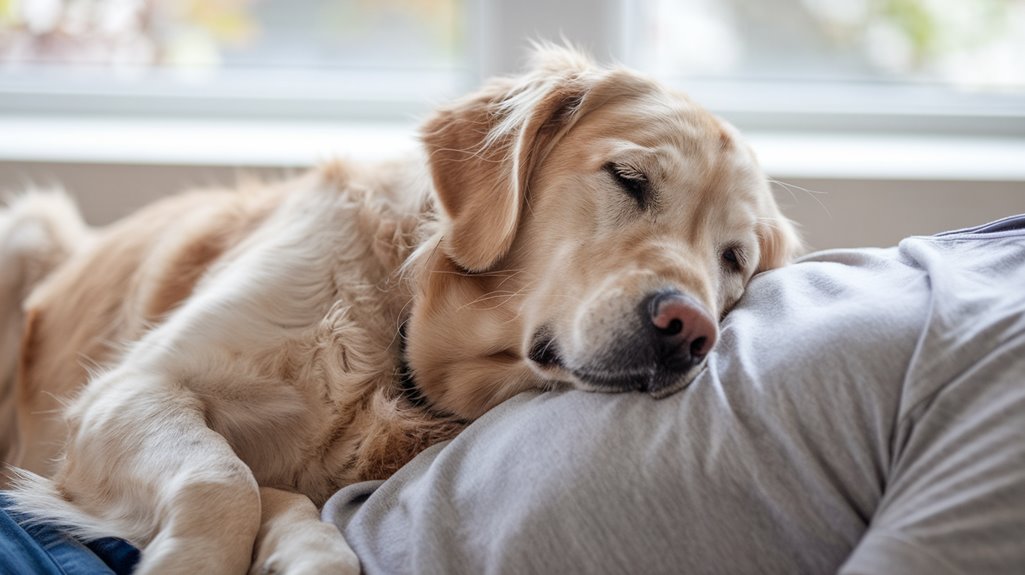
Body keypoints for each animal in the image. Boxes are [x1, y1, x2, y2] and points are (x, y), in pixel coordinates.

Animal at [0, 45, 799, 573]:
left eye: (733, 259)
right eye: (629, 179)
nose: (689, 330)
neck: (398, 328)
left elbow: (285, 510)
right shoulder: (129, 388)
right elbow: (220, 480)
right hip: (27, 232)